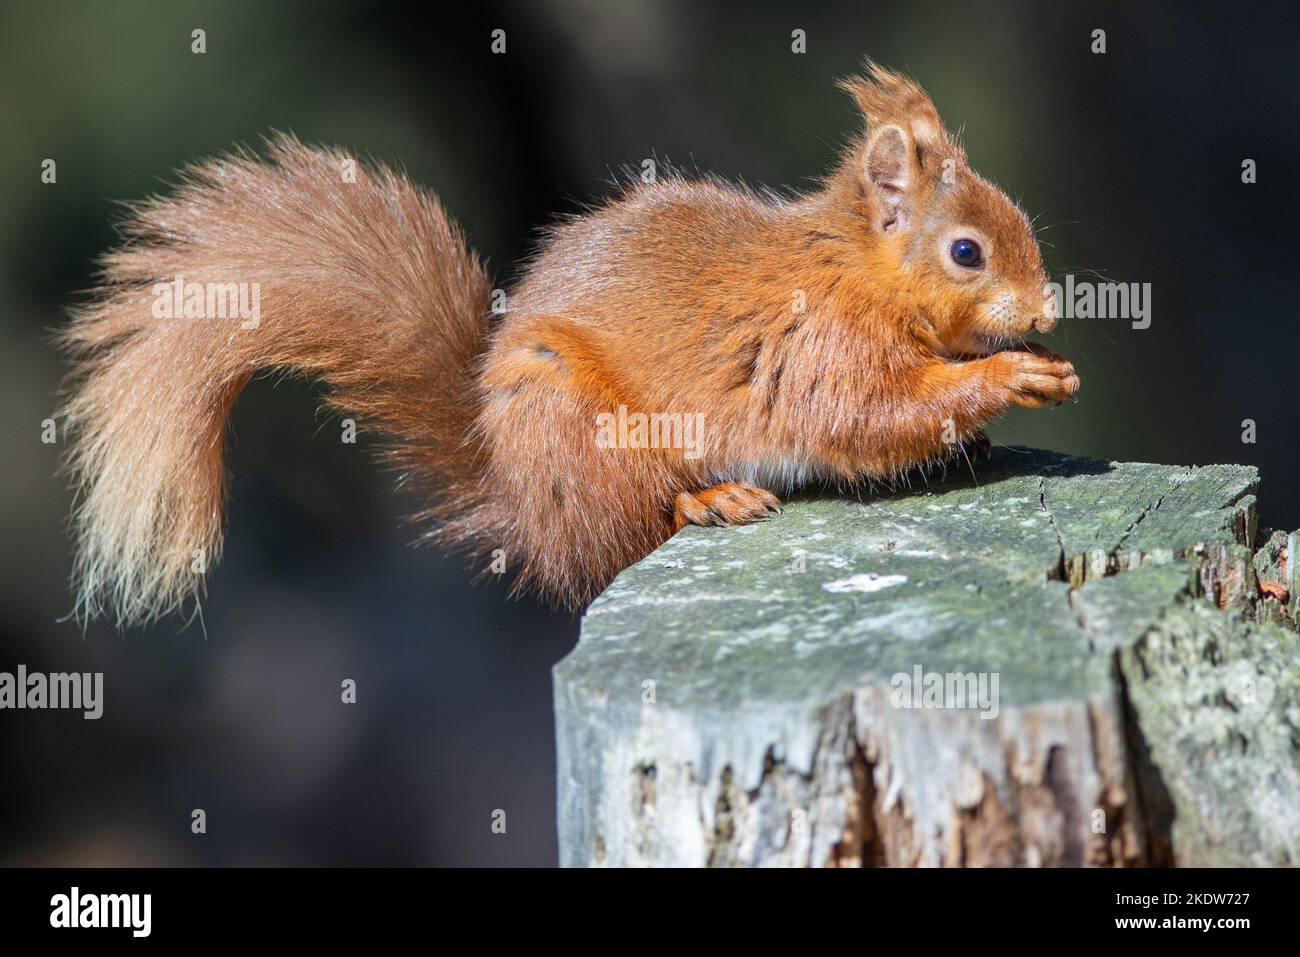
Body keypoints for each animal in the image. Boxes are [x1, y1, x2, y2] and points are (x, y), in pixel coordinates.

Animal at [58, 63, 1076, 624]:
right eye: (966, 252)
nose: (1046, 311)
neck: (856, 268)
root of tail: (518, 503)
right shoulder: (821, 346)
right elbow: (866, 415)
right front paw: (1012, 376)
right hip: (578, 430)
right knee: (623, 531)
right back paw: (709, 498)